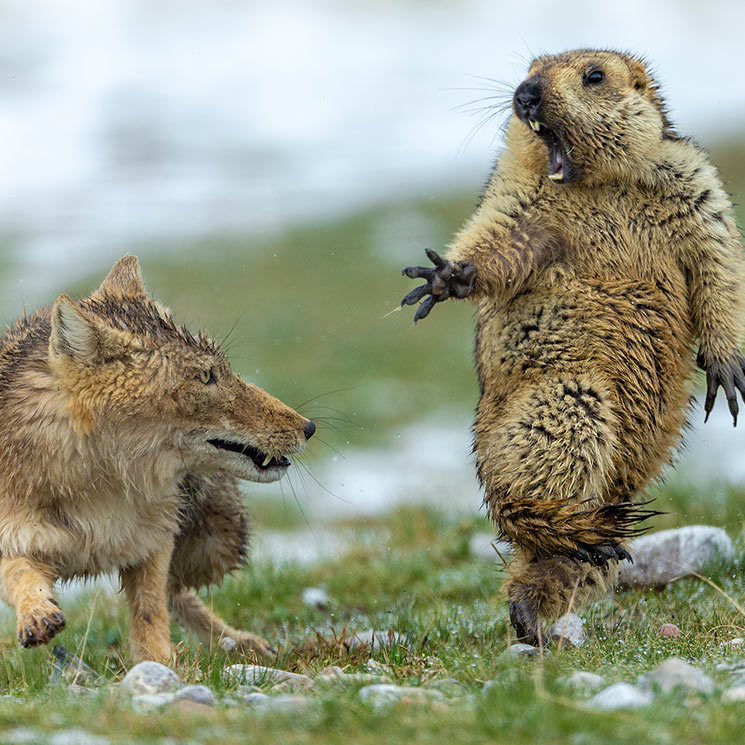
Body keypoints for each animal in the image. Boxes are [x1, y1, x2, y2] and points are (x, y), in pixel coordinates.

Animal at [0, 256, 316, 664]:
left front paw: (158, 664)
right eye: (206, 375)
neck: (96, 491)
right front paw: (37, 614)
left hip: (217, 542)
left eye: (222, 369)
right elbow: (20, 576)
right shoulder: (15, 539)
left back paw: (239, 641)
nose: (308, 427)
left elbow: (150, 609)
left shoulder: (153, 539)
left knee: (178, 592)